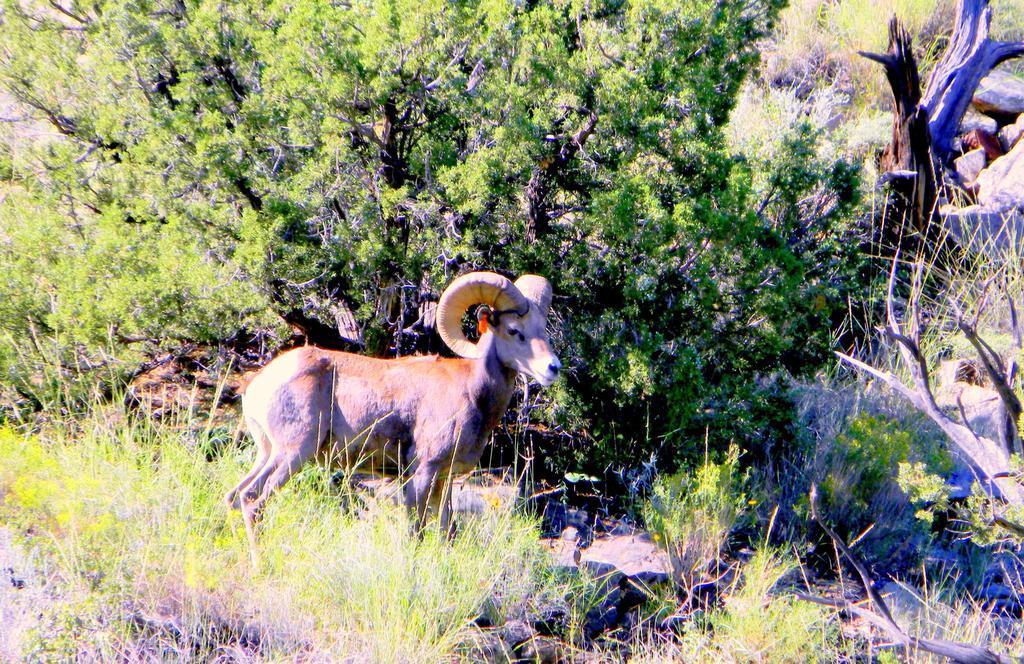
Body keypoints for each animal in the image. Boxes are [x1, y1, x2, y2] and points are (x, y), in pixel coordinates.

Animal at [224, 270, 561, 532]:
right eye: (514, 330)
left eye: (542, 329)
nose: (552, 368)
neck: (472, 392)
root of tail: (257, 386)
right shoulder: (423, 472)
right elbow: (415, 531)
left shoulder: (444, 479)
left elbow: (447, 532)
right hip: (293, 453)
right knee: (253, 500)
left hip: (268, 453)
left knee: (235, 496)